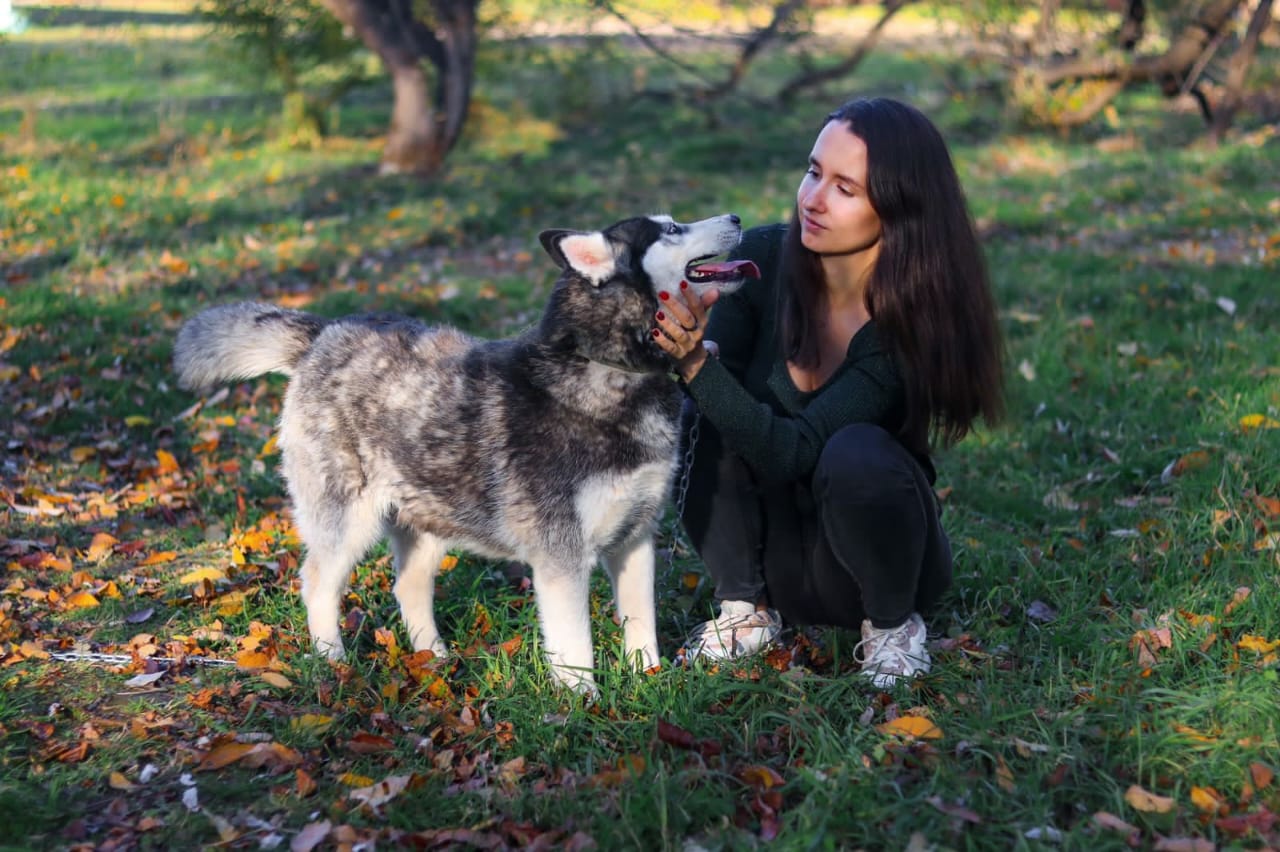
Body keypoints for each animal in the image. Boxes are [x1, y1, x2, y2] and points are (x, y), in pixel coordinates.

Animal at [174, 213, 752, 690]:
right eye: (672, 228)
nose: (736, 217)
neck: (607, 371)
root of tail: (325, 332)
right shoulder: (561, 557)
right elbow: (576, 649)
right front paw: (583, 704)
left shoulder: (634, 537)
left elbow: (642, 628)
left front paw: (650, 683)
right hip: (347, 522)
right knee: (317, 583)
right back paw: (332, 661)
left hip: (430, 521)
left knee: (407, 587)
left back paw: (433, 658)